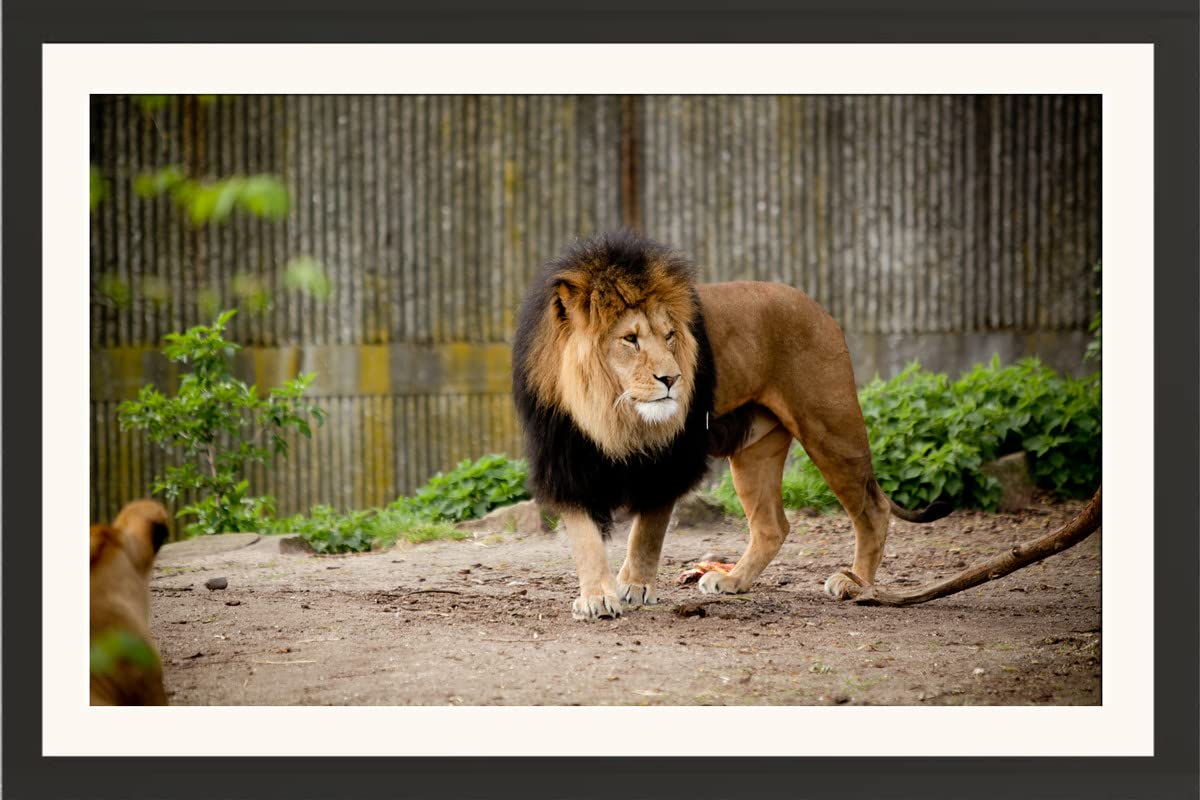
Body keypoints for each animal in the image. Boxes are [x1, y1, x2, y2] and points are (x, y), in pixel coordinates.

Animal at [512, 230, 950, 620]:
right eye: (630, 339)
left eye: (670, 336)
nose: (673, 379)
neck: (611, 411)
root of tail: (817, 307)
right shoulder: (564, 459)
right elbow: (585, 538)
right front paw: (598, 597)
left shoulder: (672, 459)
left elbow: (647, 532)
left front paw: (634, 584)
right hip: (755, 453)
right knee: (773, 526)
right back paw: (734, 580)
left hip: (831, 428)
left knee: (873, 509)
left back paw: (855, 583)